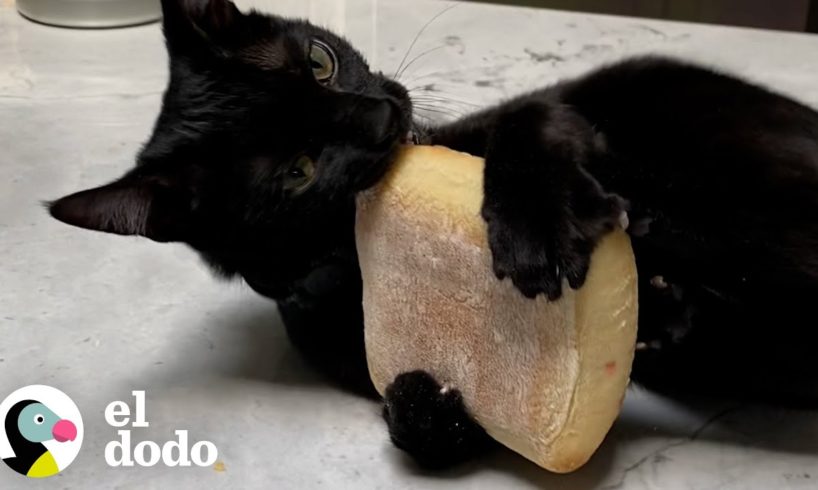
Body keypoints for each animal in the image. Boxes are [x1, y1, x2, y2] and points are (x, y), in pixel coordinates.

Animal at [47, 0, 816, 468]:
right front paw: (427, 403)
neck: (354, 258)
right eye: (297, 170)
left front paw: (538, 230)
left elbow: (527, 120)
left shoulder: (546, 114)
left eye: (320, 61)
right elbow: (423, 422)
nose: (383, 114)